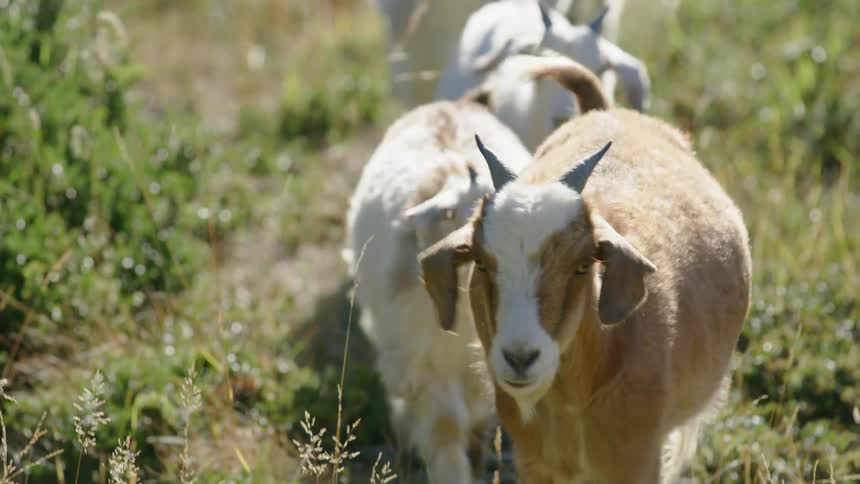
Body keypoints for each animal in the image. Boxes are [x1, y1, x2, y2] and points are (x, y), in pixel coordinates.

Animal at [419, 108, 752, 483]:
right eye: (481, 262)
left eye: (582, 264)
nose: (520, 358)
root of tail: (612, 112)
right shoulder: (534, 464)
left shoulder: (638, 462)